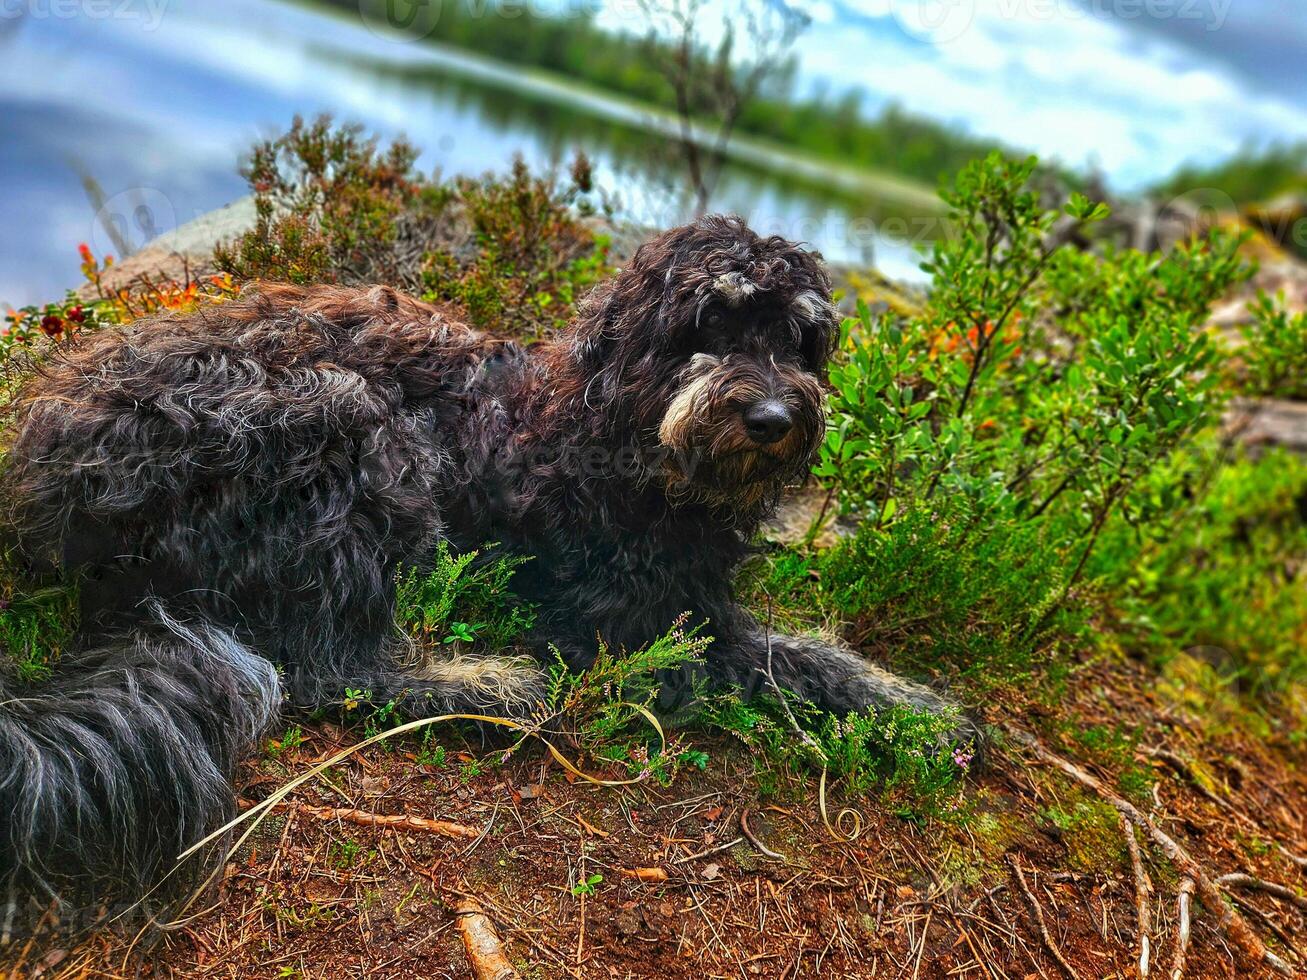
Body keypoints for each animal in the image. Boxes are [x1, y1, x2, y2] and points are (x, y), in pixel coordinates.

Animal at [0, 216, 967, 919]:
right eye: (709, 325)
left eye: (799, 339)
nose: (771, 417)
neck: (621, 436)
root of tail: (57, 489)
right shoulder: (622, 634)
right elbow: (771, 665)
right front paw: (911, 716)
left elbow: (813, 653)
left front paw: (919, 708)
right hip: (347, 421)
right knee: (330, 670)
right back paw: (489, 687)